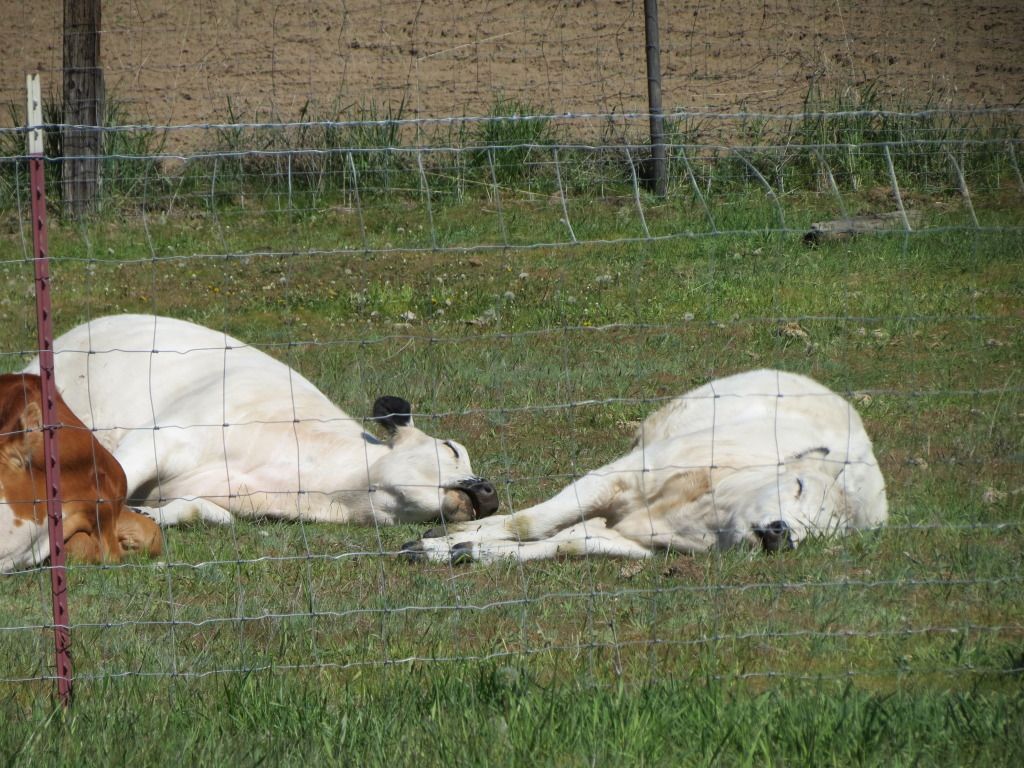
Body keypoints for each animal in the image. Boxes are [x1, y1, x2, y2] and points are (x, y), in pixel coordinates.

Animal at [402, 369, 888, 563]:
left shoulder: (639, 544)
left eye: (824, 532)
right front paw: (445, 540)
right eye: (799, 485)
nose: (783, 534)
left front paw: (465, 551)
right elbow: (532, 522)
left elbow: (566, 544)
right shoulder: (617, 476)